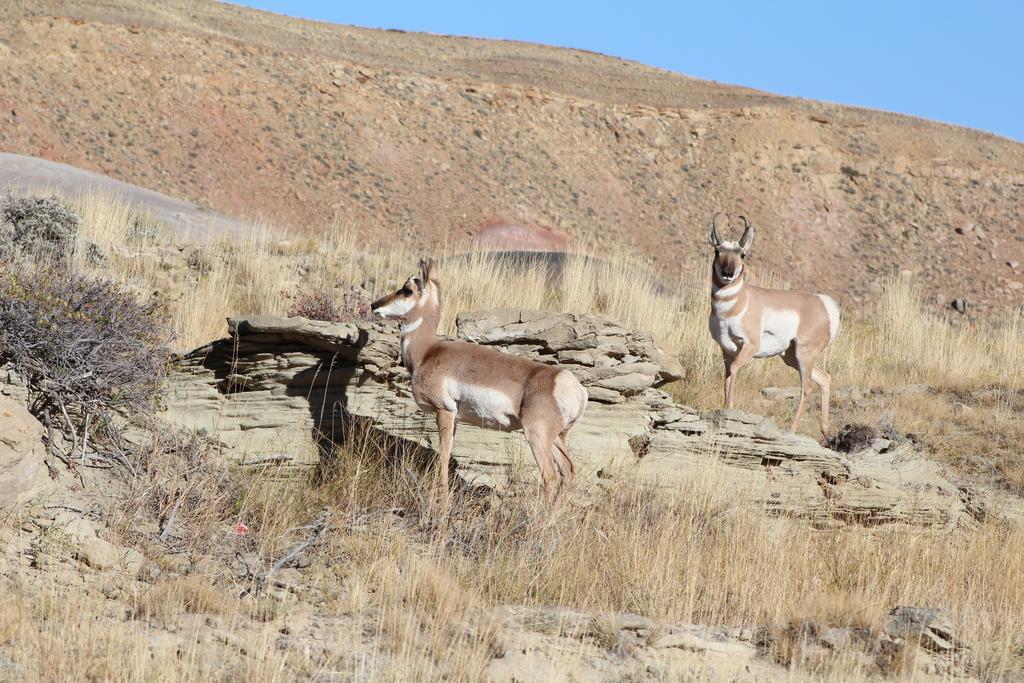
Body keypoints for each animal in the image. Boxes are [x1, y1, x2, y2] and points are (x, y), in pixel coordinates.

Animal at [372, 259, 589, 505]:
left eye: (407, 289)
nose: (374, 305)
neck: (428, 351)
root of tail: (571, 385)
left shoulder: (444, 411)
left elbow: (443, 456)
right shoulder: (455, 418)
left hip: (537, 436)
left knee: (550, 475)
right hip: (556, 438)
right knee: (568, 470)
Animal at [708, 216, 843, 436]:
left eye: (742, 254)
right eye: (717, 251)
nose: (728, 273)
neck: (739, 302)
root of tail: (822, 303)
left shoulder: (749, 346)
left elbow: (735, 370)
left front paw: (729, 410)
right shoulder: (726, 350)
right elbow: (727, 376)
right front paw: (724, 408)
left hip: (804, 354)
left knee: (807, 388)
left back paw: (792, 429)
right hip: (790, 356)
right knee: (824, 378)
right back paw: (824, 430)